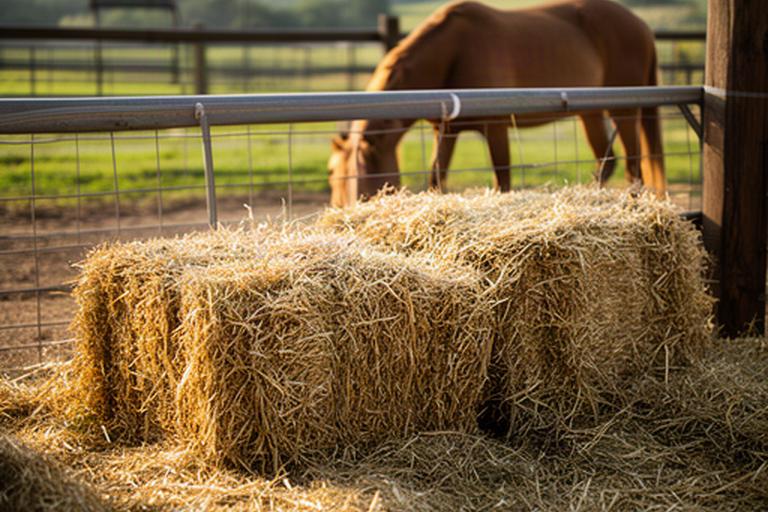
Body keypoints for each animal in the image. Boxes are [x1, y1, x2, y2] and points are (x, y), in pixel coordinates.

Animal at [327, 0, 665, 207]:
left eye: (334, 173)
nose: (339, 210)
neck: (454, 51)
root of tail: (642, 26)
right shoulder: (445, 131)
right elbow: (436, 177)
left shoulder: (497, 128)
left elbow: (503, 180)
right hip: (591, 114)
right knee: (608, 164)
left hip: (624, 112)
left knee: (634, 168)